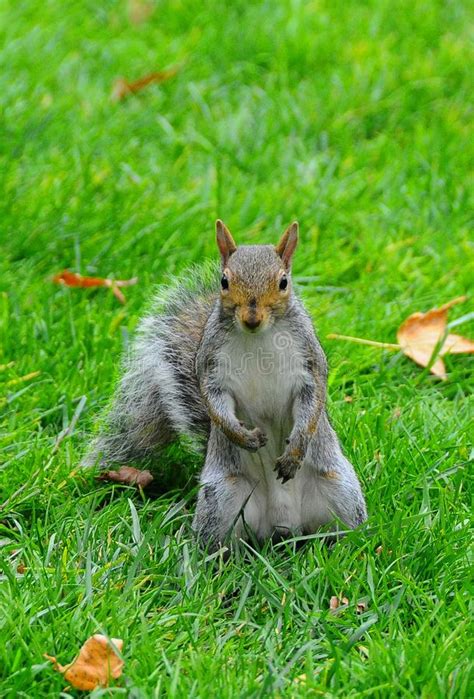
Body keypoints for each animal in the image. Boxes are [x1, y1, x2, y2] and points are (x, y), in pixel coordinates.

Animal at [84, 221, 366, 548]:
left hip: (340, 489)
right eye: (224, 281)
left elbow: (312, 404)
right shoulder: (211, 369)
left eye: (283, 282)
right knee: (222, 541)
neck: (258, 337)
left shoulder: (309, 364)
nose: (252, 318)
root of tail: (283, 527)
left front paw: (294, 452)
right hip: (222, 497)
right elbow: (215, 404)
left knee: (343, 530)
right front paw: (243, 436)